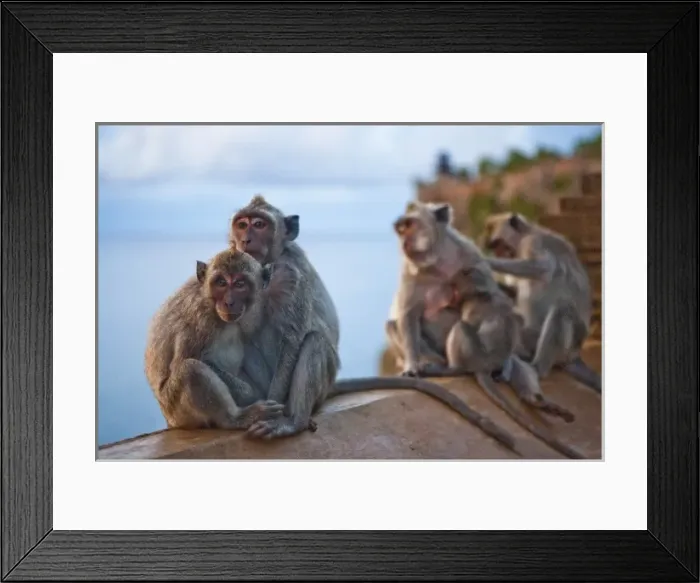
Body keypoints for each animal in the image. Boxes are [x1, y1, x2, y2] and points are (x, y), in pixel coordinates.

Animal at [143, 246, 285, 431]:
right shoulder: (199, 320)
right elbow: (185, 361)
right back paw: (236, 418)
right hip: (177, 410)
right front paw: (250, 393)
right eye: (221, 282)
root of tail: (169, 420)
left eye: (240, 284)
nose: (229, 302)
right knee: (190, 370)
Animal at [226, 195, 520, 453]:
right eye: (242, 223)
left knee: (314, 343)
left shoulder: (289, 272)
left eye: (259, 224)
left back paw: (294, 421)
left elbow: (292, 339)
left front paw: (273, 414)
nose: (245, 238)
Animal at [386, 200, 586, 460]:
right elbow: (408, 316)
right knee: (394, 325)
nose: (404, 243)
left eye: (410, 225)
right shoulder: (409, 272)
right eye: (401, 229)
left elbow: (498, 303)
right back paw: (436, 365)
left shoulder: (470, 256)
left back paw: (535, 399)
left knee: (519, 363)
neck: (437, 261)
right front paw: (411, 365)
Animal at [482, 212, 602, 393]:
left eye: (499, 245)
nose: (498, 254)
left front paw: (485, 261)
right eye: (495, 247)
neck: (530, 231)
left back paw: (538, 368)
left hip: (567, 345)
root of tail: (575, 355)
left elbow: (541, 267)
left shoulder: (532, 242)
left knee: (562, 307)